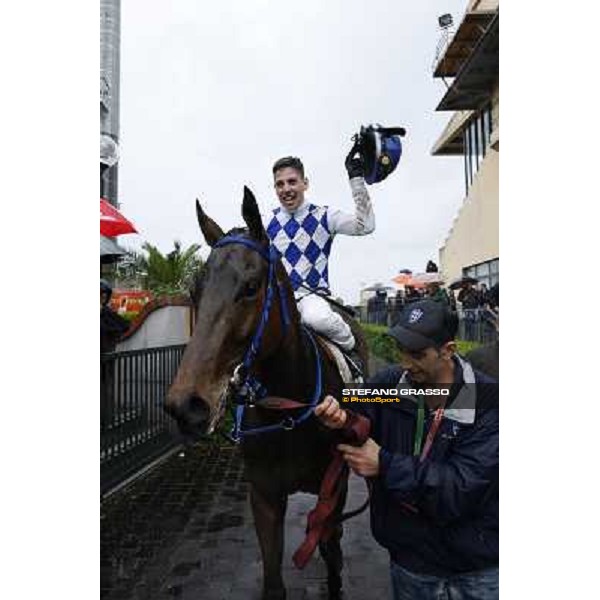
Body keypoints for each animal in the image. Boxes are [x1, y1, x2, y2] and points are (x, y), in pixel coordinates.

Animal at [166, 185, 368, 596]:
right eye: (195, 289)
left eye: (250, 287)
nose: (186, 405)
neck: (289, 413)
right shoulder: (263, 496)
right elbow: (273, 579)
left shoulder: (335, 487)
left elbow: (332, 553)